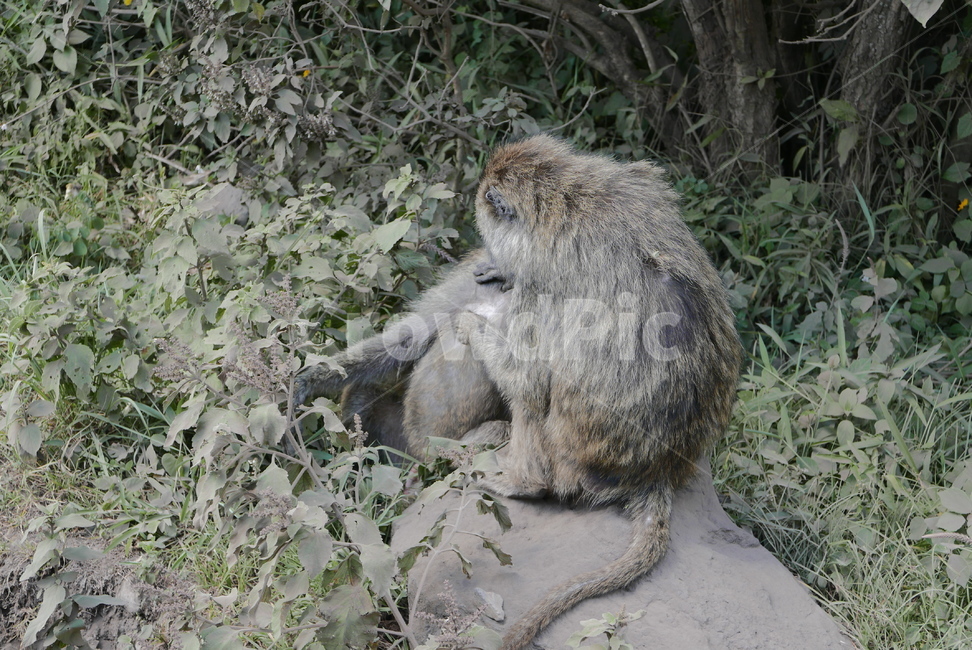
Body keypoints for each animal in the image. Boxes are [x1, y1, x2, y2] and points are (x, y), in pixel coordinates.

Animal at [454, 134, 743, 650]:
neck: (567, 200)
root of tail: (656, 472)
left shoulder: (543, 288)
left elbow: (527, 379)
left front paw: (471, 322)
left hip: (574, 462)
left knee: (536, 404)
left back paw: (523, 483)